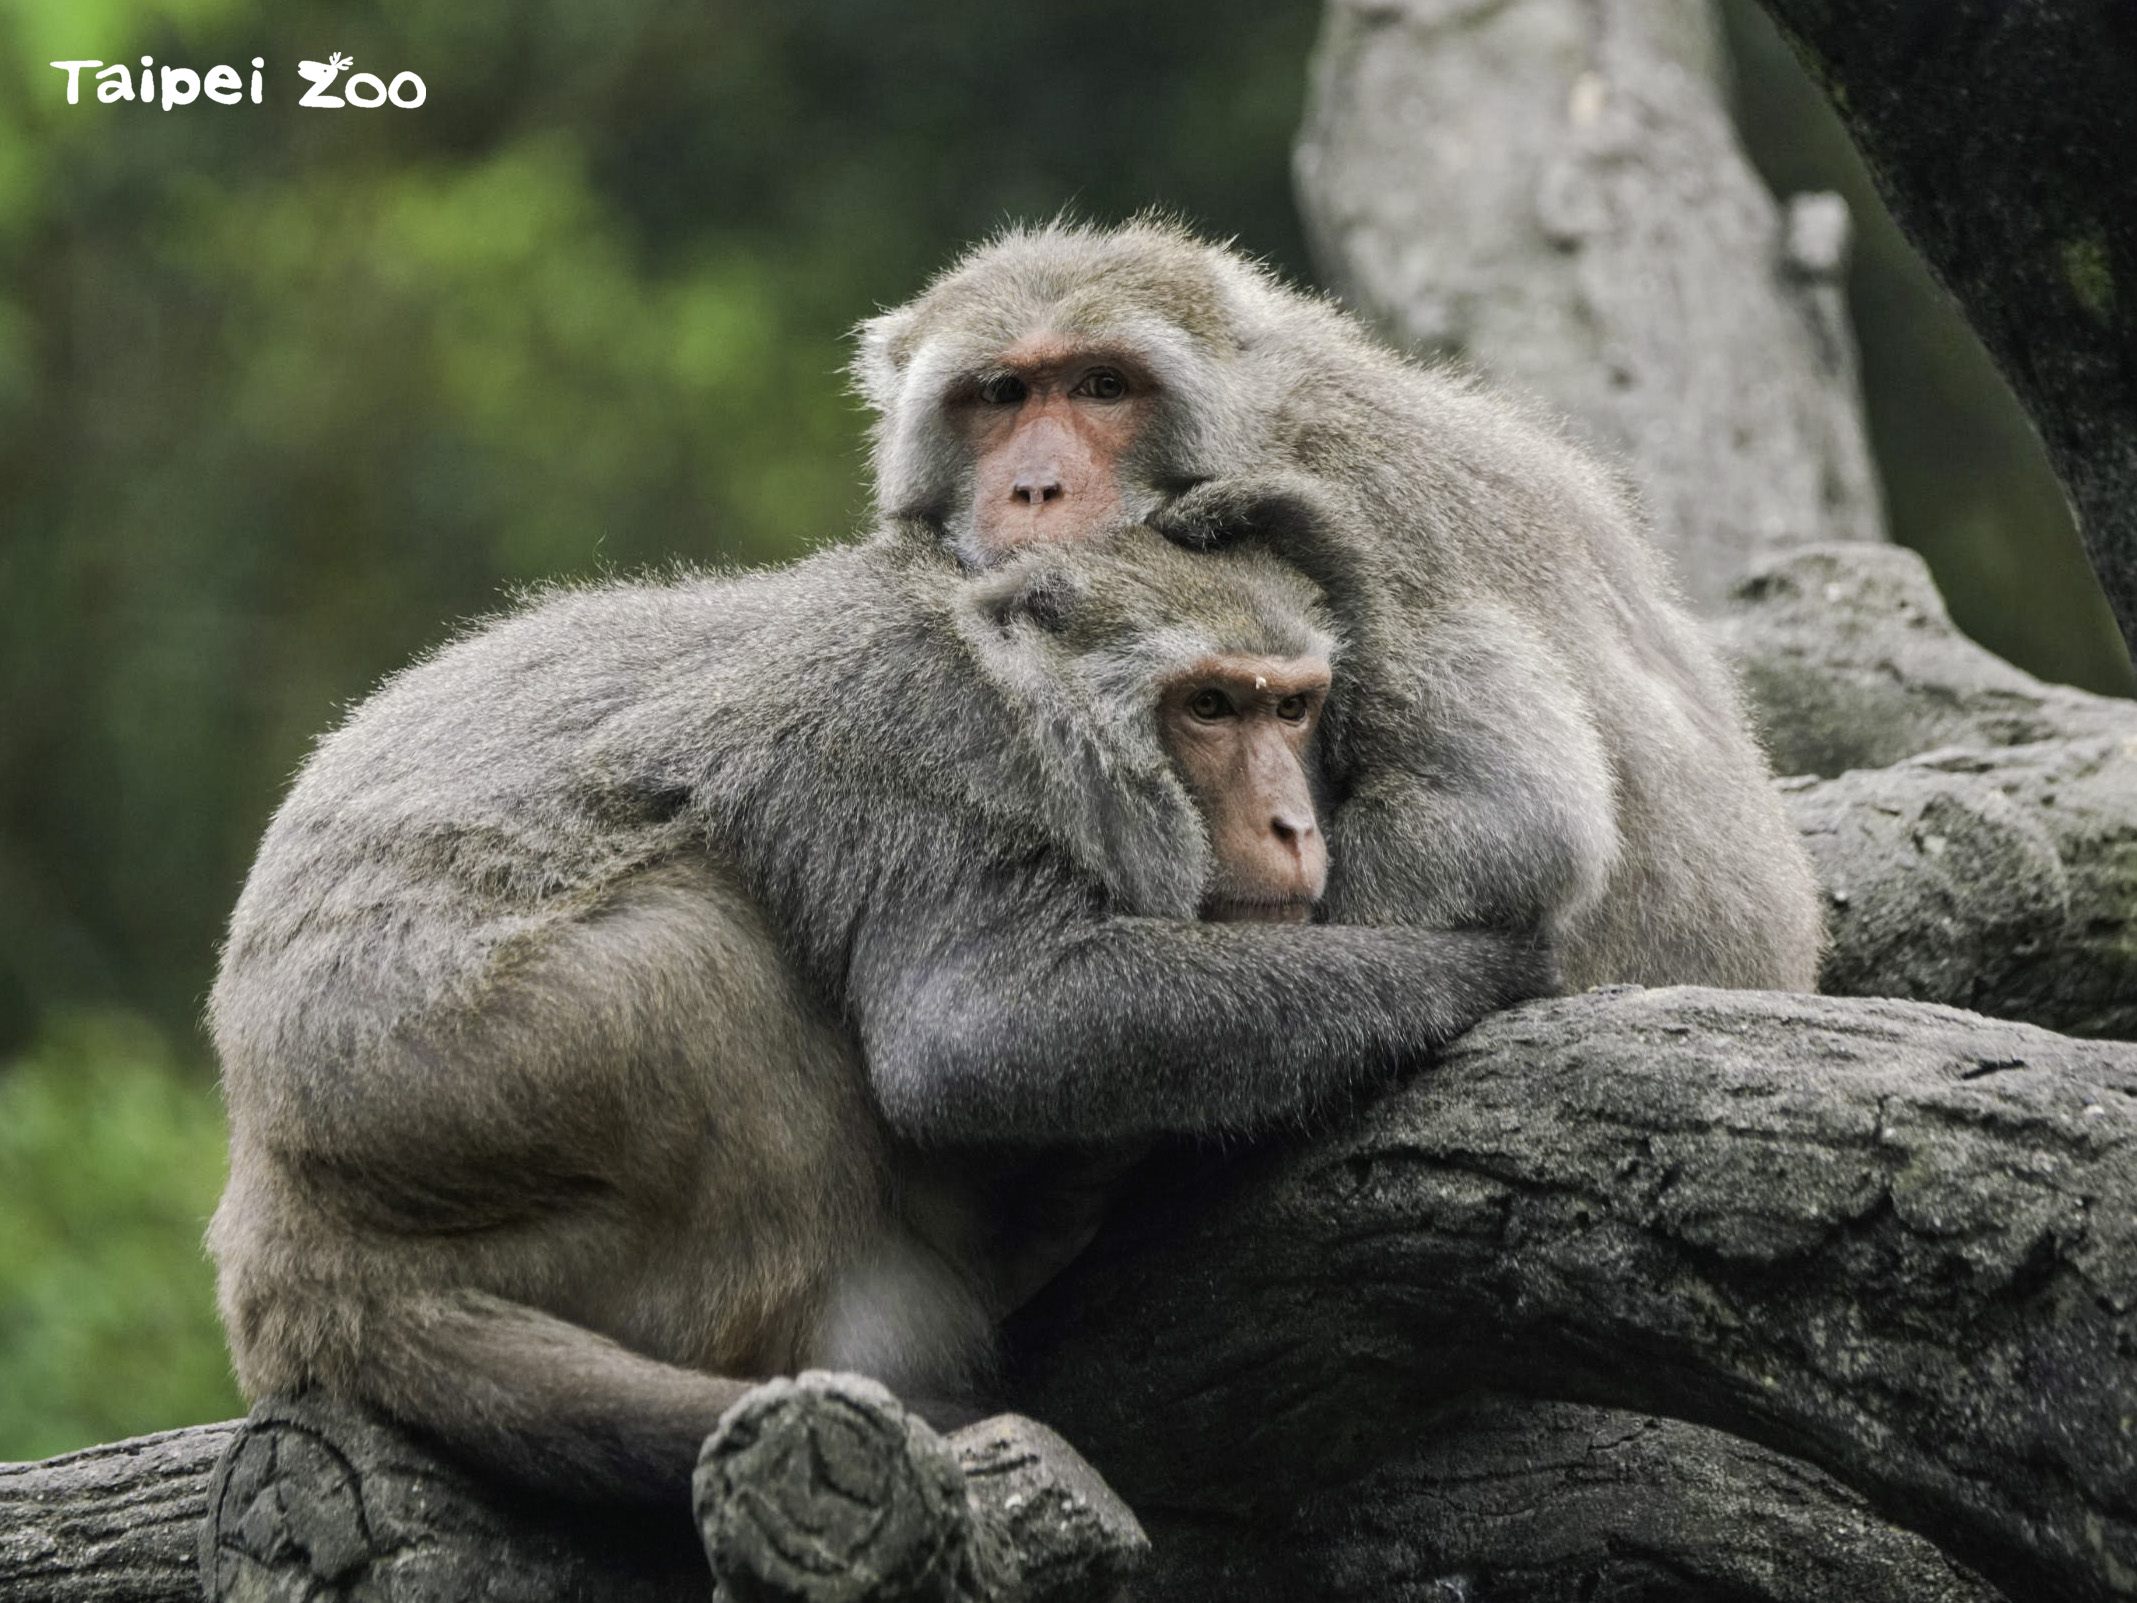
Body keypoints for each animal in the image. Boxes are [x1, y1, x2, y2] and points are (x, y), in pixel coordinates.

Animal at [208, 527, 1555, 1504]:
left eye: (1290, 706)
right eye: (1211, 708)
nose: (1291, 824)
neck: (1028, 698)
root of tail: (289, 1249)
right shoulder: (918, 741)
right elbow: (974, 1030)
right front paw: (1476, 968)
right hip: (478, 1080)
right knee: (706, 940)